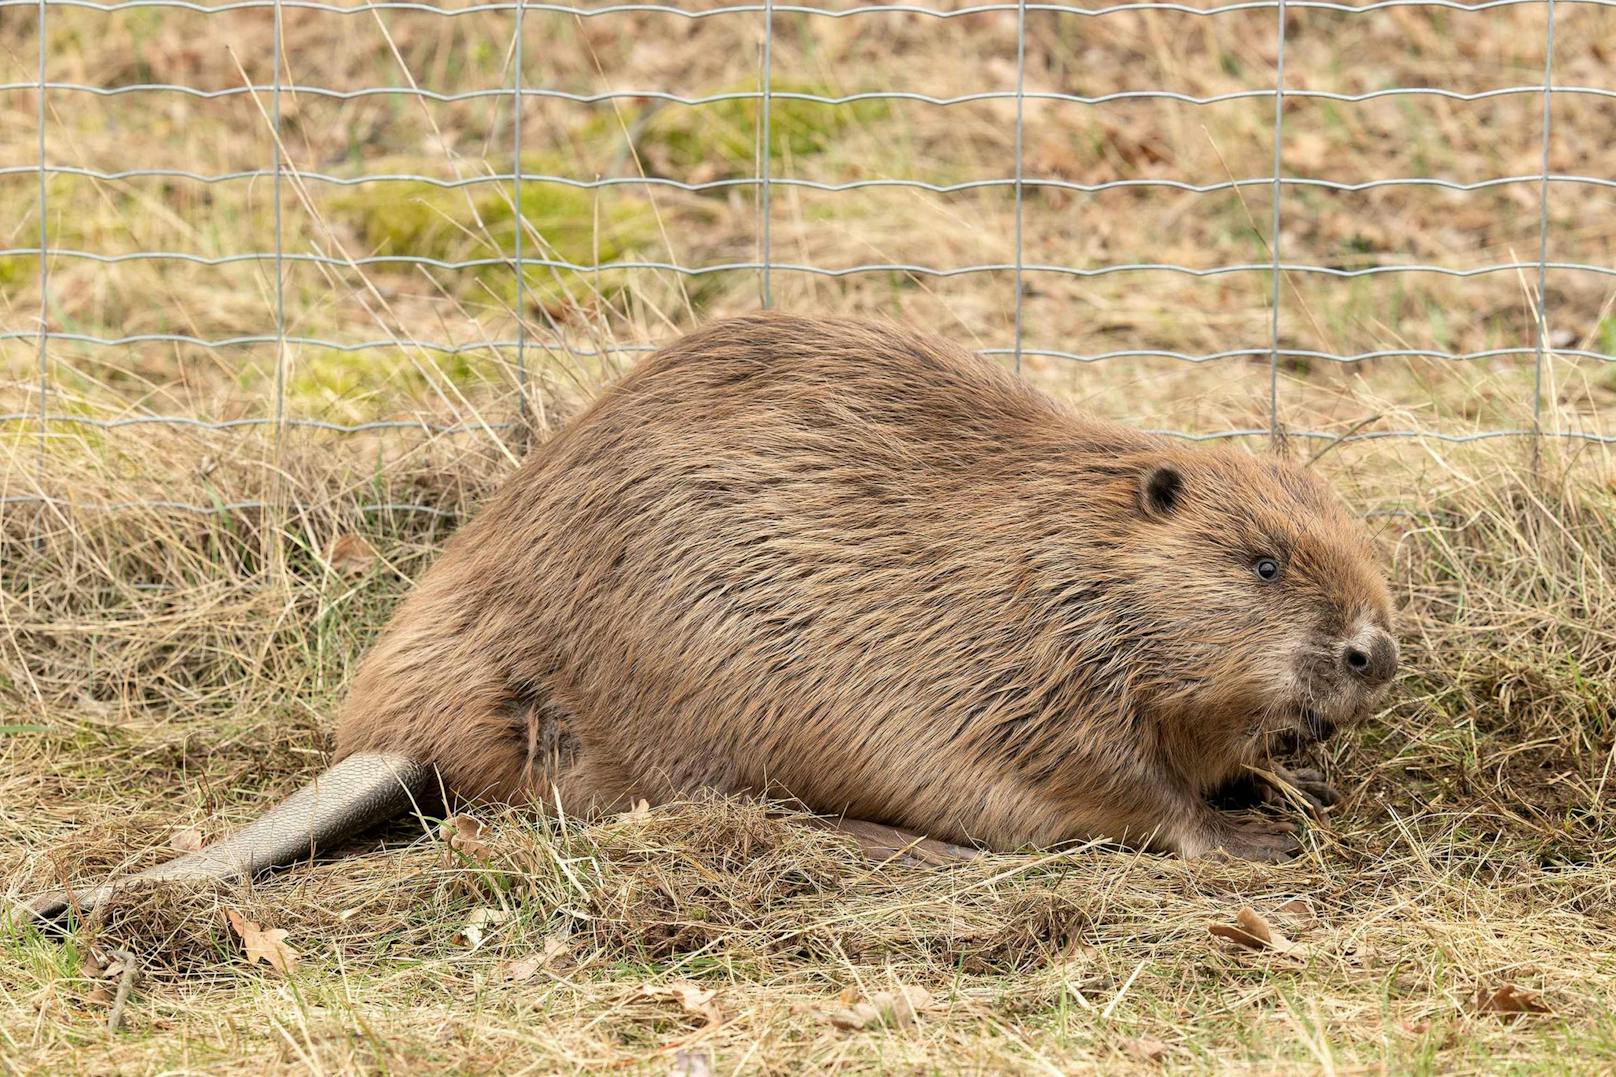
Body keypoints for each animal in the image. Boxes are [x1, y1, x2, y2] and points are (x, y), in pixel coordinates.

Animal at [25, 315, 1396, 918]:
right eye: (1262, 564)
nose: (1372, 650)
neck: (1056, 549)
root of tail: (401, 729)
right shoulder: (1021, 670)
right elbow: (1115, 789)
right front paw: (1246, 839)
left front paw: (1289, 784)